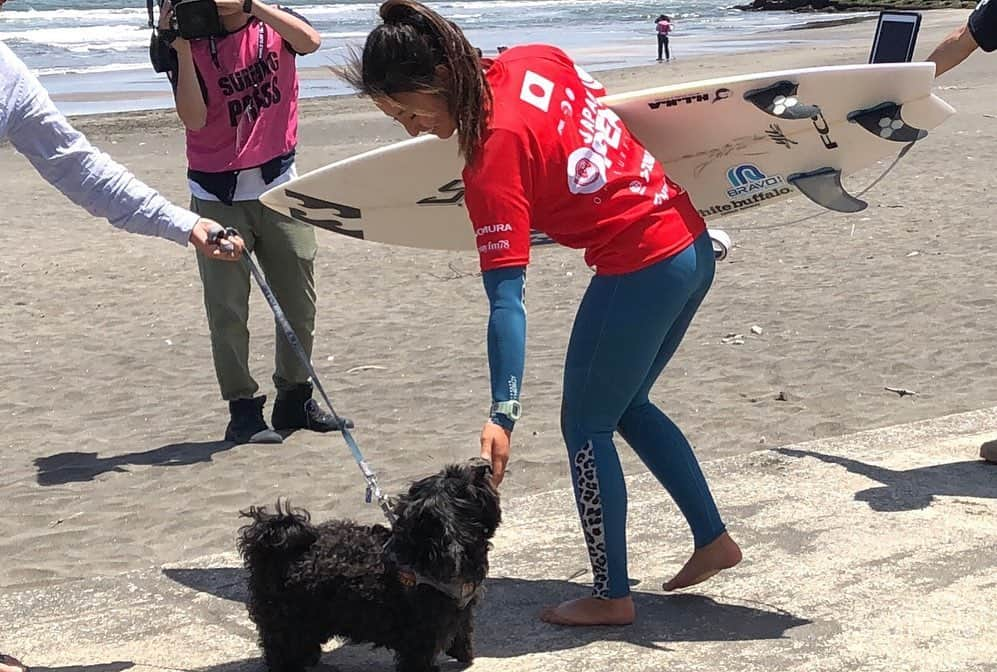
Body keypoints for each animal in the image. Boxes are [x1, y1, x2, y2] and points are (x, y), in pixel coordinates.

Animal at [237, 460, 502, 672]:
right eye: (462, 482)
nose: (483, 466)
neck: (424, 551)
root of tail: (270, 545)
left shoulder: (460, 610)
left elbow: (463, 631)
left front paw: (464, 654)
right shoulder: (420, 635)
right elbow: (421, 659)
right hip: (286, 619)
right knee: (279, 650)